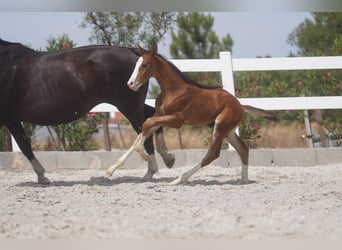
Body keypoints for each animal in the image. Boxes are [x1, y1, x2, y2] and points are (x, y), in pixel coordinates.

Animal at [0, 39, 174, 184]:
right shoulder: (11, 119)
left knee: (145, 128)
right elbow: (24, 144)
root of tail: (135, 52)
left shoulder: (8, 118)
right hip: (132, 105)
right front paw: (42, 176)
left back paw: (151, 170)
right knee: (152, 118)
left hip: (129, 106)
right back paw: (166, 159)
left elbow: (24, 145)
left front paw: (42, 176)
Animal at [107, 43, 278, 185]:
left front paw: (146, 156)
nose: (130, 84)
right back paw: (244, 180)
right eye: (136, 64)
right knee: (243, 149)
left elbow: (146, 125)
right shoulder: (159, 115)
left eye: (144, 64)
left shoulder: (177, 120)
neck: (173, 90)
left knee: (212, 154)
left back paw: (179, 179)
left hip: (220, 127)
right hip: (228, 130)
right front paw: (110, 169)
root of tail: (241, 106)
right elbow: (144, 129)